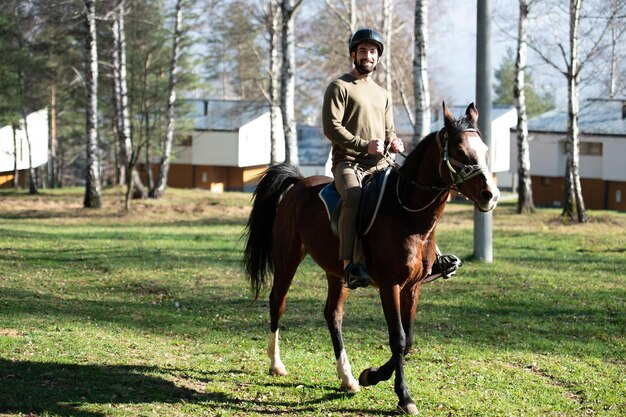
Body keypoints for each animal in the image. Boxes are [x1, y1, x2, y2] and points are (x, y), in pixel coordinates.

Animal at [241, 102, 500, 414]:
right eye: (460, 151)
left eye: (485, 149)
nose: (491, 195)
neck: (408, 217)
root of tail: (300, 183)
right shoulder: (390, 285)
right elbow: (398, 338)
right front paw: (403, 396)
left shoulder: (413, 286)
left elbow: (409, 339)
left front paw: (370, 375)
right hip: (287, 259)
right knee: (277, 303)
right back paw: (276, 364)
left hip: (337, 272)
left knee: (333, 315)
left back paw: (348, 378)